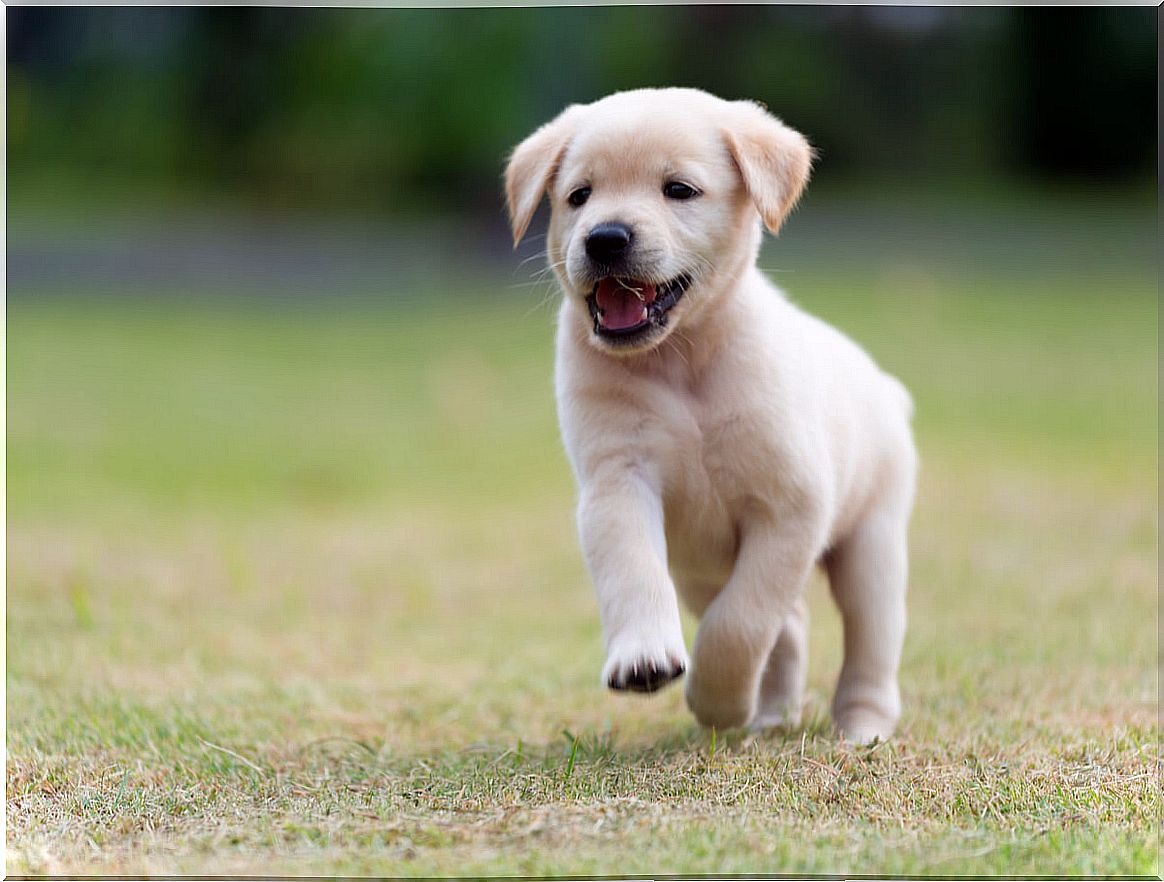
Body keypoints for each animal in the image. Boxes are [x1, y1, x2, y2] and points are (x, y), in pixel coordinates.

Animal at [505, 87, 912, 744]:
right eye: (579, 196)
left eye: (679, 189)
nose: (605, 238)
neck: (682, 360)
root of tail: (886, 387)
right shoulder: (617, 483)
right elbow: (634, 572)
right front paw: (645, 658)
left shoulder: (790, 508)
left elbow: (741, 622)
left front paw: (717, 700)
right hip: (698, 569)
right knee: (790, 627)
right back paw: (771, 712)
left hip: (872, 544)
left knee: (867, 641)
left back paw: (861, 727)